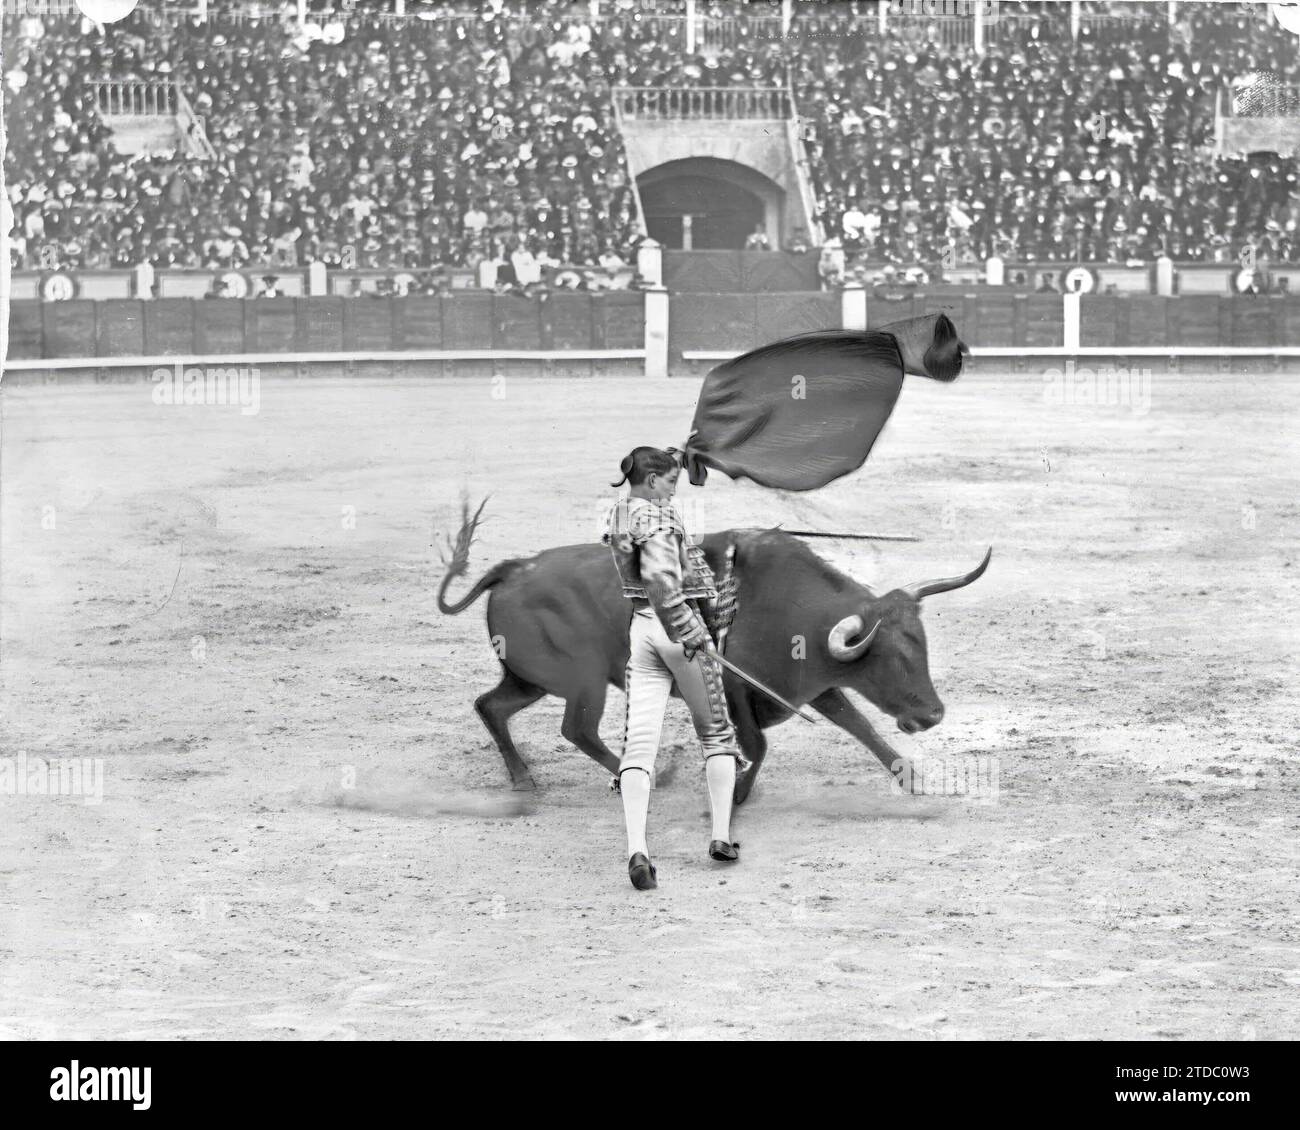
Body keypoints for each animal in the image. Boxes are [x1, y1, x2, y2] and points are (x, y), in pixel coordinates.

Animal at [439, 512, 993, 801]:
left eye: (922, 646)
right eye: (891, 659)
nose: (932, 715)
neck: (793, 610)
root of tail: (513, 568)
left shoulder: (813, 687)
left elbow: (858, 725)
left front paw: (913, 778)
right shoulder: (736, 690)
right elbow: (759, 746)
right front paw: (738, 792)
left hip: (529, 679)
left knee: (491, 706)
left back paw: (524, 778)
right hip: (584, 682)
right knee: (576, 728)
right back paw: (648, 777)